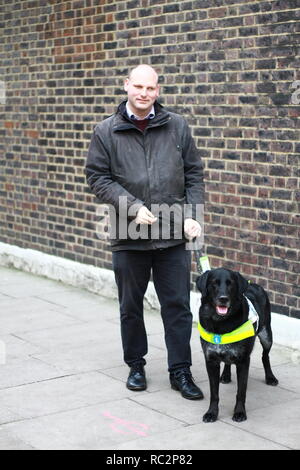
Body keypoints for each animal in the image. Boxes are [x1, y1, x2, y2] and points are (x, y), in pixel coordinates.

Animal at [197, 268, 278, 422]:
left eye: (231, 284)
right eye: (214, 283)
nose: (223, 299)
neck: (221, 322)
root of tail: (254, 284)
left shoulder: (243, 361)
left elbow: (241, 392)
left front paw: (239, 412)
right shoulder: (211, 361)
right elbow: (214, 393)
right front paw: (212, 412)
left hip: (267, 335)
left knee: (265, 356)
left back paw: (270, 377)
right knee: (228, 361)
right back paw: (225, 375)